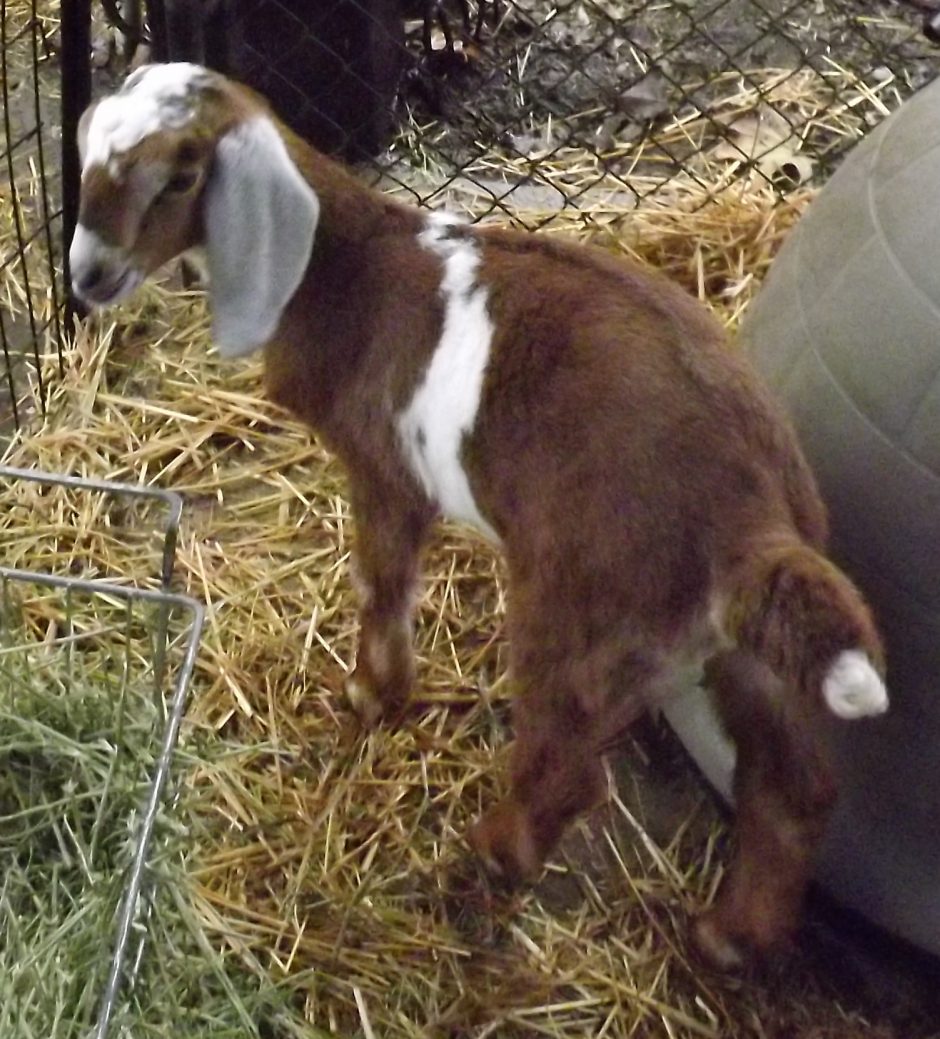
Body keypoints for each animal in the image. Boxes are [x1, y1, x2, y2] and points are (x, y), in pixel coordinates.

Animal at [69, 63, 888, 971]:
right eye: (88, 153)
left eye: (180, 176)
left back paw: (490, 854)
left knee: (567, 767)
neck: (347, 269)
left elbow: (382, 584)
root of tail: (753, 526)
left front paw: (371, 694)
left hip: (581, 612)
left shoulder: (386, 472)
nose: (87, 279)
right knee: (793, 788)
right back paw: (728, 936)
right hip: (748, 656)